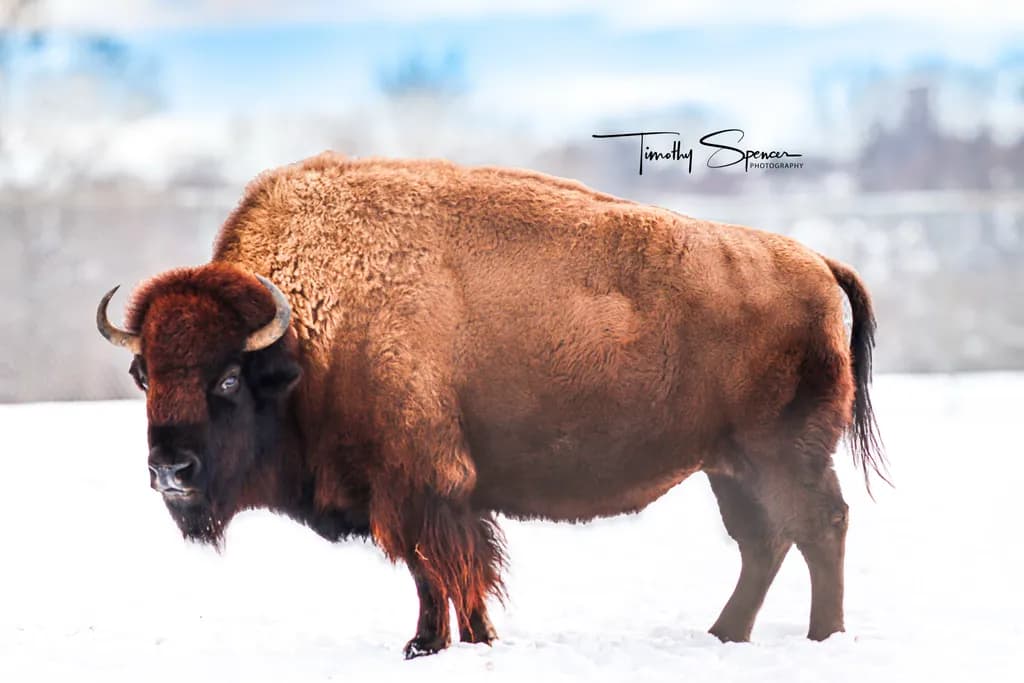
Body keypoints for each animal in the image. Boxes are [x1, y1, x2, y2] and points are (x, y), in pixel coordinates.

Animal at [97, 152, 886, 658]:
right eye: (143, 372)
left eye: (228, 378)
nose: (170, 470)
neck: (313, 334)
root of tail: (819, 264)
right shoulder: (416, 493)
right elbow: (436, 575)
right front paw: (437, 643)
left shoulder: (423, 484)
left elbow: (446, 567)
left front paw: (458, 642)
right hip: (728, 466)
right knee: (766, 540)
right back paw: (727, 635)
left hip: (783, 455)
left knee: (820, 526)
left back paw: (822, 636)